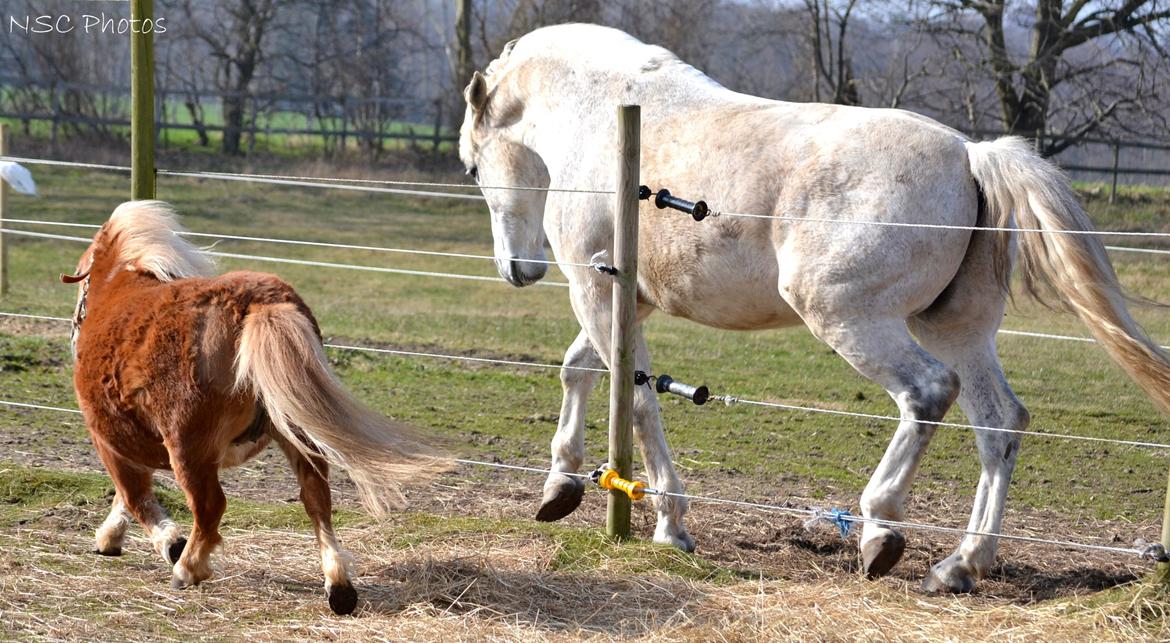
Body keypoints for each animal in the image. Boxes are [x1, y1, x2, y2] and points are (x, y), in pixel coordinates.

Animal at [66, 201, 444, 617]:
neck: (117, 284)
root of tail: (257, 303)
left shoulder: (110, 442)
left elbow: (135, 497)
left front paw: (165, 544)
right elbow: (130, 496)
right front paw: (114, 536)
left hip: (190, 449)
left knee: (211, 506)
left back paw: (188, 568)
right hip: (296, 435)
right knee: (317, 500)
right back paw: (339, 586)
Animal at [456, 23, 1170, 593]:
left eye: (472, 168)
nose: (519, 271)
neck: (599, 115)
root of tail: (971, 155)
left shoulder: (595, 288)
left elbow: (635, 397)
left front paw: (669, 525)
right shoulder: (627, 300)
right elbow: (580, 369)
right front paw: (560, 485)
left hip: (850, 319)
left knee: (929, 393)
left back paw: (882, 530)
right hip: (955, 328)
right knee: (1000, 423)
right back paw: (961, 565)